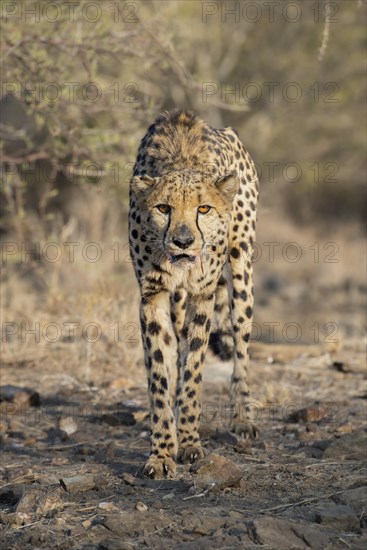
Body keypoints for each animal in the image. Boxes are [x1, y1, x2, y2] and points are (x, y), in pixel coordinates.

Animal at [129, 110, 258, 480]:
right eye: (163, 208)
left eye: (203, 209)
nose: (183, 242)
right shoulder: (153, 296)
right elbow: (160, 373)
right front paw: (162, 452)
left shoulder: (202, 294)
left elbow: (195, 371)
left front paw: (188, 442)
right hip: (177, 302)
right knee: (179, 348)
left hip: (241, 268)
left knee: (240, 345)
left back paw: (242, 417)